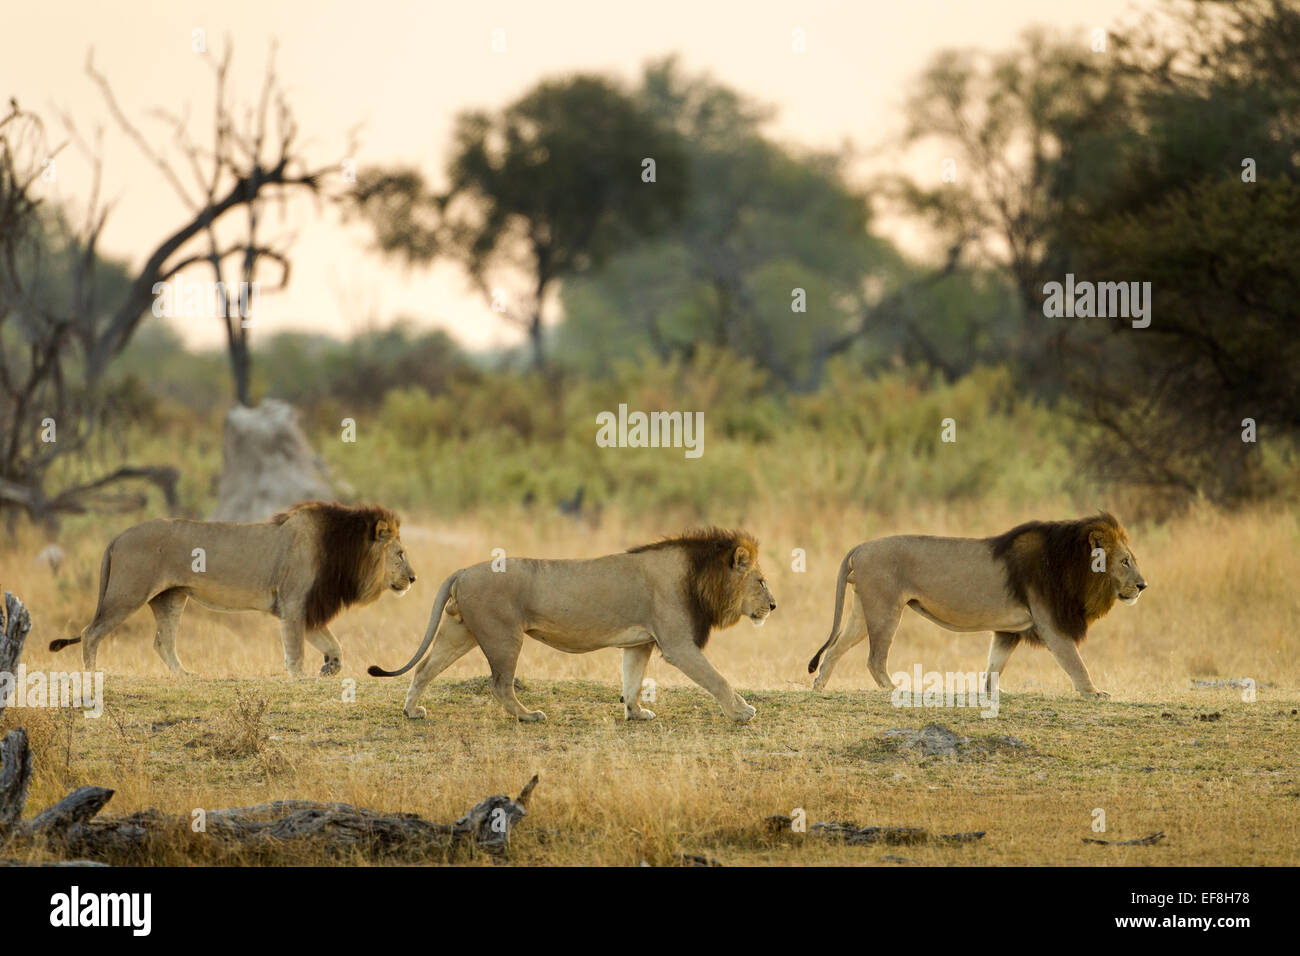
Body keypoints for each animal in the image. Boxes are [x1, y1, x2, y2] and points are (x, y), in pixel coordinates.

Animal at [48, 501, 415, 677]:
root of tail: (117, 536)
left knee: (162, 642)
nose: (413, 579)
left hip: (170, 598)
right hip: (128, 593)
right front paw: (301, 678)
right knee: (91, 632)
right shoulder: (294, 604)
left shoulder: (303, 608)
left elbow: (334, 645)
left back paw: (186, 676)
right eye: (400, 554)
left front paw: (329, 667)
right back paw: (93, 674)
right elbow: (296, 651)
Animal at [367, 528, 776, 723]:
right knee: (499, 684)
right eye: (760, 581)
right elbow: (717, 678)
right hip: (503, 636)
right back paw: (528, 716)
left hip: (460, 632)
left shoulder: (639, 643)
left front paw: (635, 714)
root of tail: (464, 570)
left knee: (423, 668)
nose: (773, 605)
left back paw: (412, 711)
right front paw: (742, 712)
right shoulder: (677, 644)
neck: (698, 575)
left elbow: (632, 682)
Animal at [807, 512, 1146, 698]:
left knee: (835, 649)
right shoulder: (1050, 623)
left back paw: (819, 687)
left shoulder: (1009, 631)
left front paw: (991, 692)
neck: (1073, 566)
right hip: (885, 609)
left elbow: (995, 663)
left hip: (863, 611)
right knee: (874, 659)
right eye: (1125, 561)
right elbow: (1075, 661)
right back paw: (895, 690)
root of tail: (861, 546)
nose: (1143, 586)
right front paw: (1093, 692)